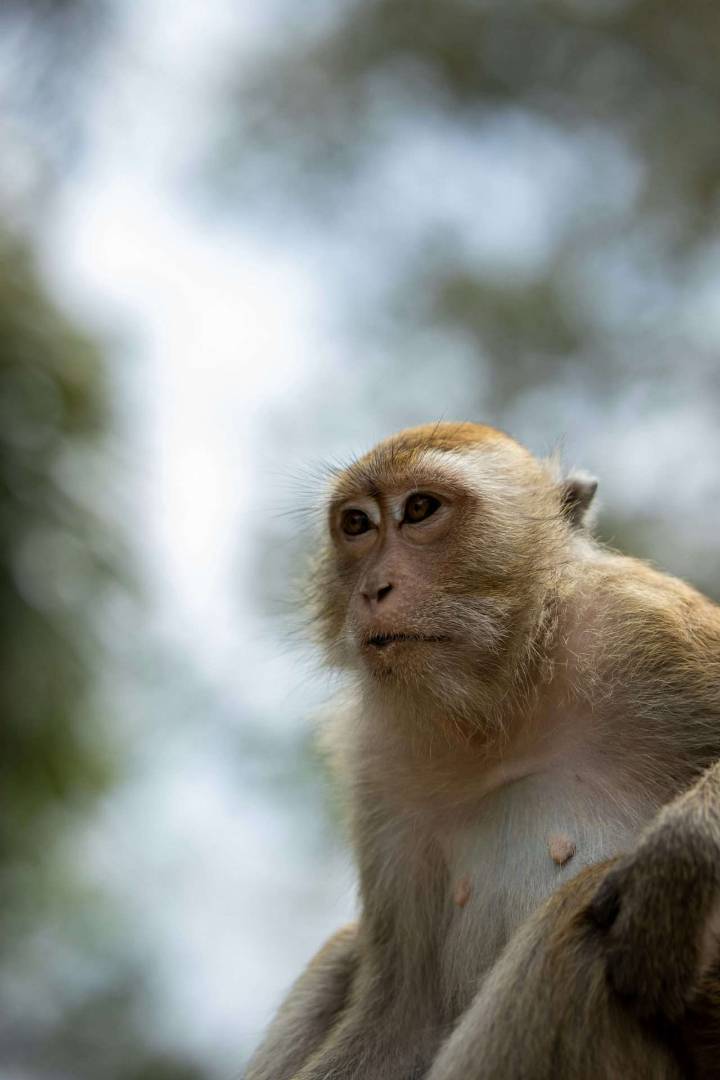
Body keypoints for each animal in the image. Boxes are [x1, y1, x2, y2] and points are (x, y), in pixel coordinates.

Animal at [245, 421, 720, 1078]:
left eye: (421, 508)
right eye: (357, 524)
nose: (372, 590)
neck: (505, 704)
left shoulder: (646, 625)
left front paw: (680, 859)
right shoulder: (378, 765)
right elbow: (402, 1018)